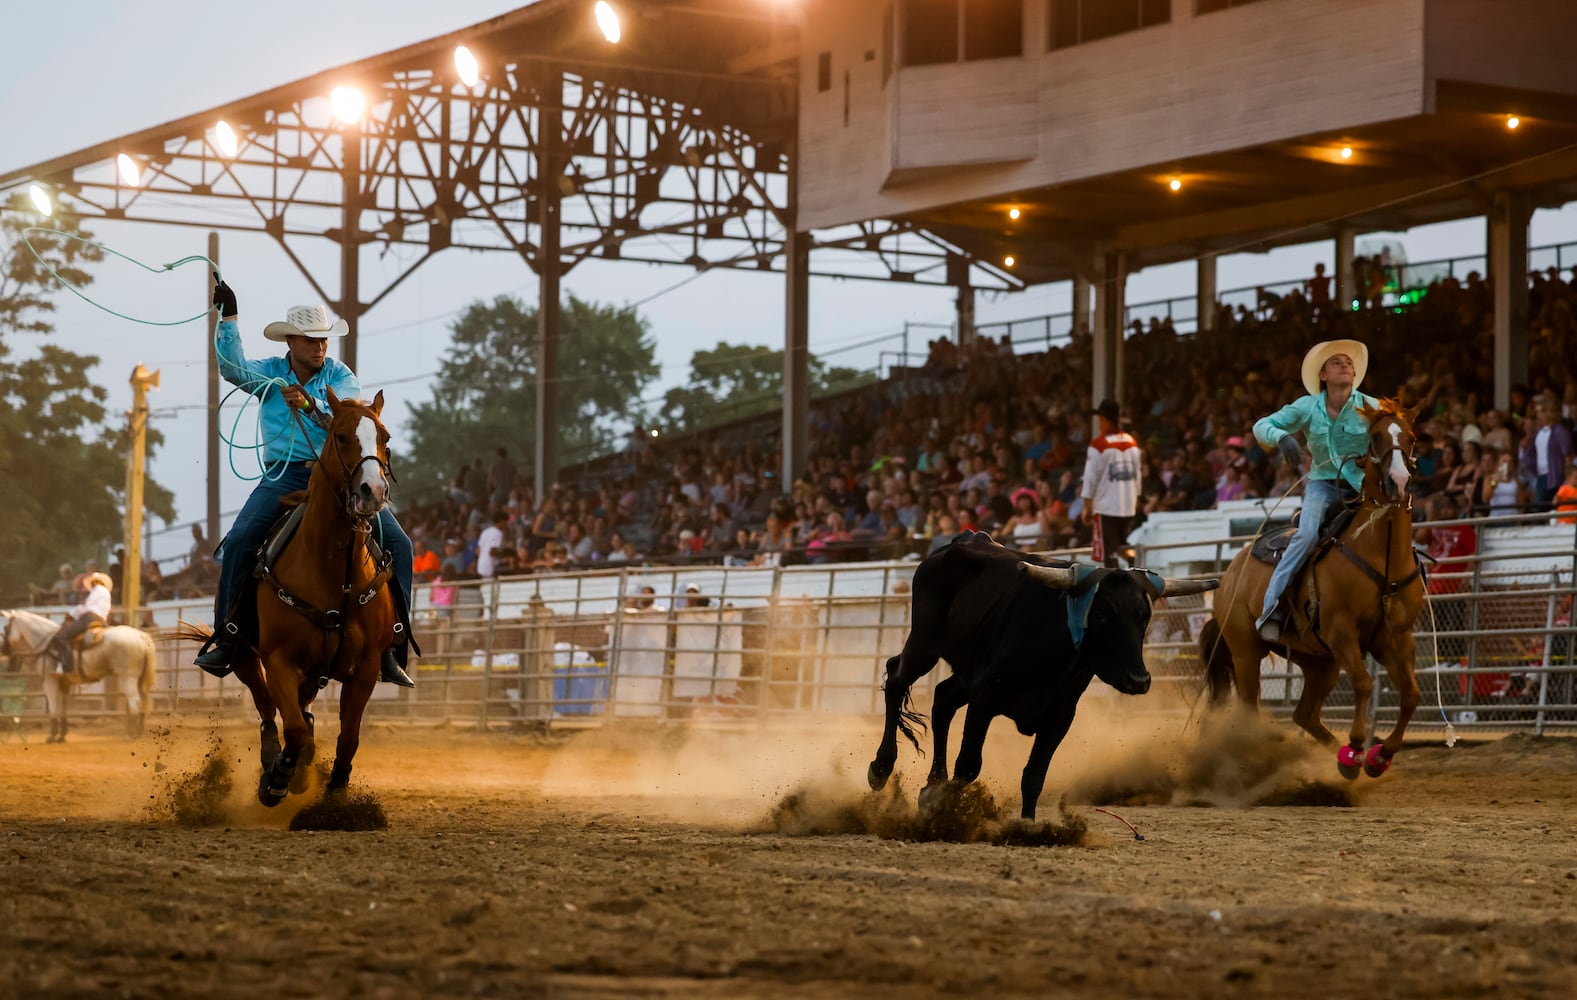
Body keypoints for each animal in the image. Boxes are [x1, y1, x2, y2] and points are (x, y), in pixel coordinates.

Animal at [0, 608, 157, 741]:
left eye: (5, 627)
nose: (3, 649)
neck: (46, 643)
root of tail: (141, 636)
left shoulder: (50, 682)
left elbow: (53, 708)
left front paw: (51, 737)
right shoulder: (64, 684)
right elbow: (63, 709)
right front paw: (62, 736)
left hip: (128, 678)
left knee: (135, 702)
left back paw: (131, 734)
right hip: (139, 679)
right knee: (143, 700)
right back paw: (139, 732)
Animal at [1192, 397, 1431, 779]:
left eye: (1410, 437)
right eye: (1375, 437)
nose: (1398, 481)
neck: (1379, 554)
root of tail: (1229, 575)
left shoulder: (1397, 637)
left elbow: (1410, 695)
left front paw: (1378, 757)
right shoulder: (1341, 631)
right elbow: (1363, 683)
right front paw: (1356, 748)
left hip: (1320, 661)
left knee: (1304, 714)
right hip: (1246, 652)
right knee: (1249, 708)